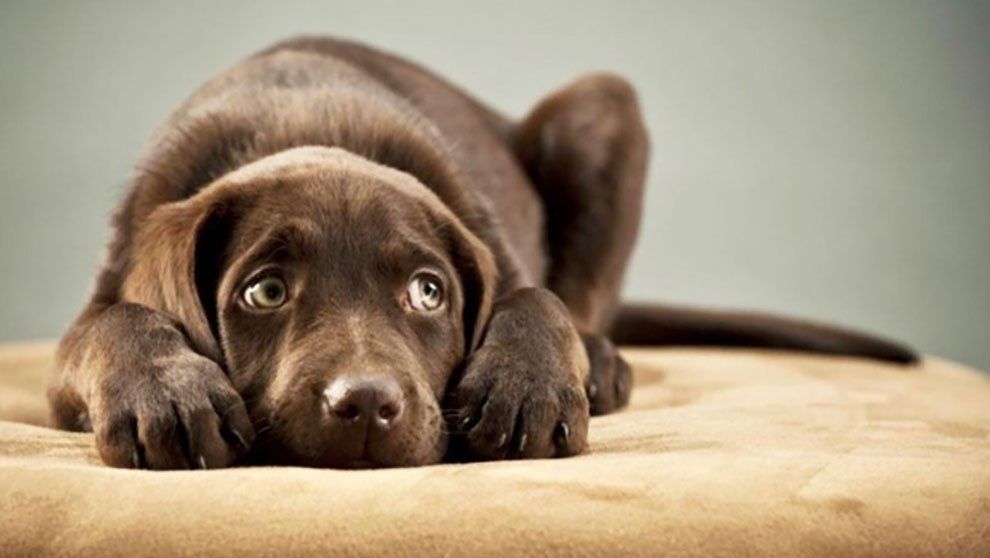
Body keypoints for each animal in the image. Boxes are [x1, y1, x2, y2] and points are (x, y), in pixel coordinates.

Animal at [48, 36, 917, 470]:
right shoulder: (90, 316)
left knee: (585, 301)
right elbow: (111, 325)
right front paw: (167, 392)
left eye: (428, 293)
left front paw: (527, 388)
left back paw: (600, 364)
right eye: (265, 292)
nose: (368, 406)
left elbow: (534, 298)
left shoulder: (492, 243)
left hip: (602, 108)